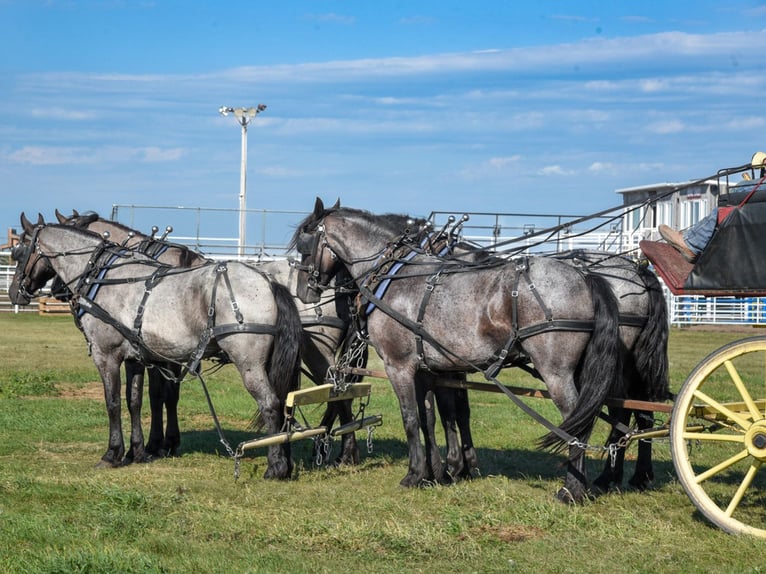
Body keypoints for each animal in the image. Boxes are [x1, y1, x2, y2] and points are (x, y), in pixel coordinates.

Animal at [9, 222, 302, 478]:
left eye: (18, 252)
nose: (14, 293)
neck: (105, 277)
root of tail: (267, 281)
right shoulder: (135, 358)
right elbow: (135, 401)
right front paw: (138, 451)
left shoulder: (106, 355)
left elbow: (113, 402)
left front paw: (112, 453)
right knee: (286, 402)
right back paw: (286, 462)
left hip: (249, 363)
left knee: (270, 404)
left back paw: (275, 467)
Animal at [49, 210, 363, 465]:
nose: (55, 291)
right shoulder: (159, 355)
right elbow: (162, 396)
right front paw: (162, 443)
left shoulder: (160, 356)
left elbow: (160, 396)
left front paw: (157, 444)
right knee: (337, 391)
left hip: (314, 350)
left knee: (336, 392)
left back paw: (335, 449)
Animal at [291, 198, 624, 502]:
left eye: (304, 245)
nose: (303, 292)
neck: (395, 273)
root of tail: (584, 276)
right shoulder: (427, 369)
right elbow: (432, 417)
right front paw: (436, 473)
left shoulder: (399, 365)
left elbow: (411, 418)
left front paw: (415, 474)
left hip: (556, 372)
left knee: (577, 420)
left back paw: (572, 490)